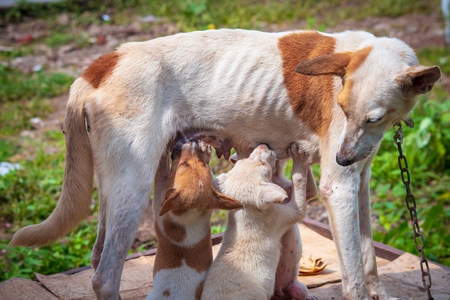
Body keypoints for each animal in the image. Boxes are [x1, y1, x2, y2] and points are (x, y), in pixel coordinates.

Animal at [149, 139, 243, 300]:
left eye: (182, 164)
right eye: (203, 163)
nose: (192, 141)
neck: (189, 215)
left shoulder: (159, 203)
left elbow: (161, 174)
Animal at [201, 144, 312, 298]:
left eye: (244, 159)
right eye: (264, 167)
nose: (263, 145)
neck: (245, 209)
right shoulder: (281, 216)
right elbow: (300, 194)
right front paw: (299, 157)